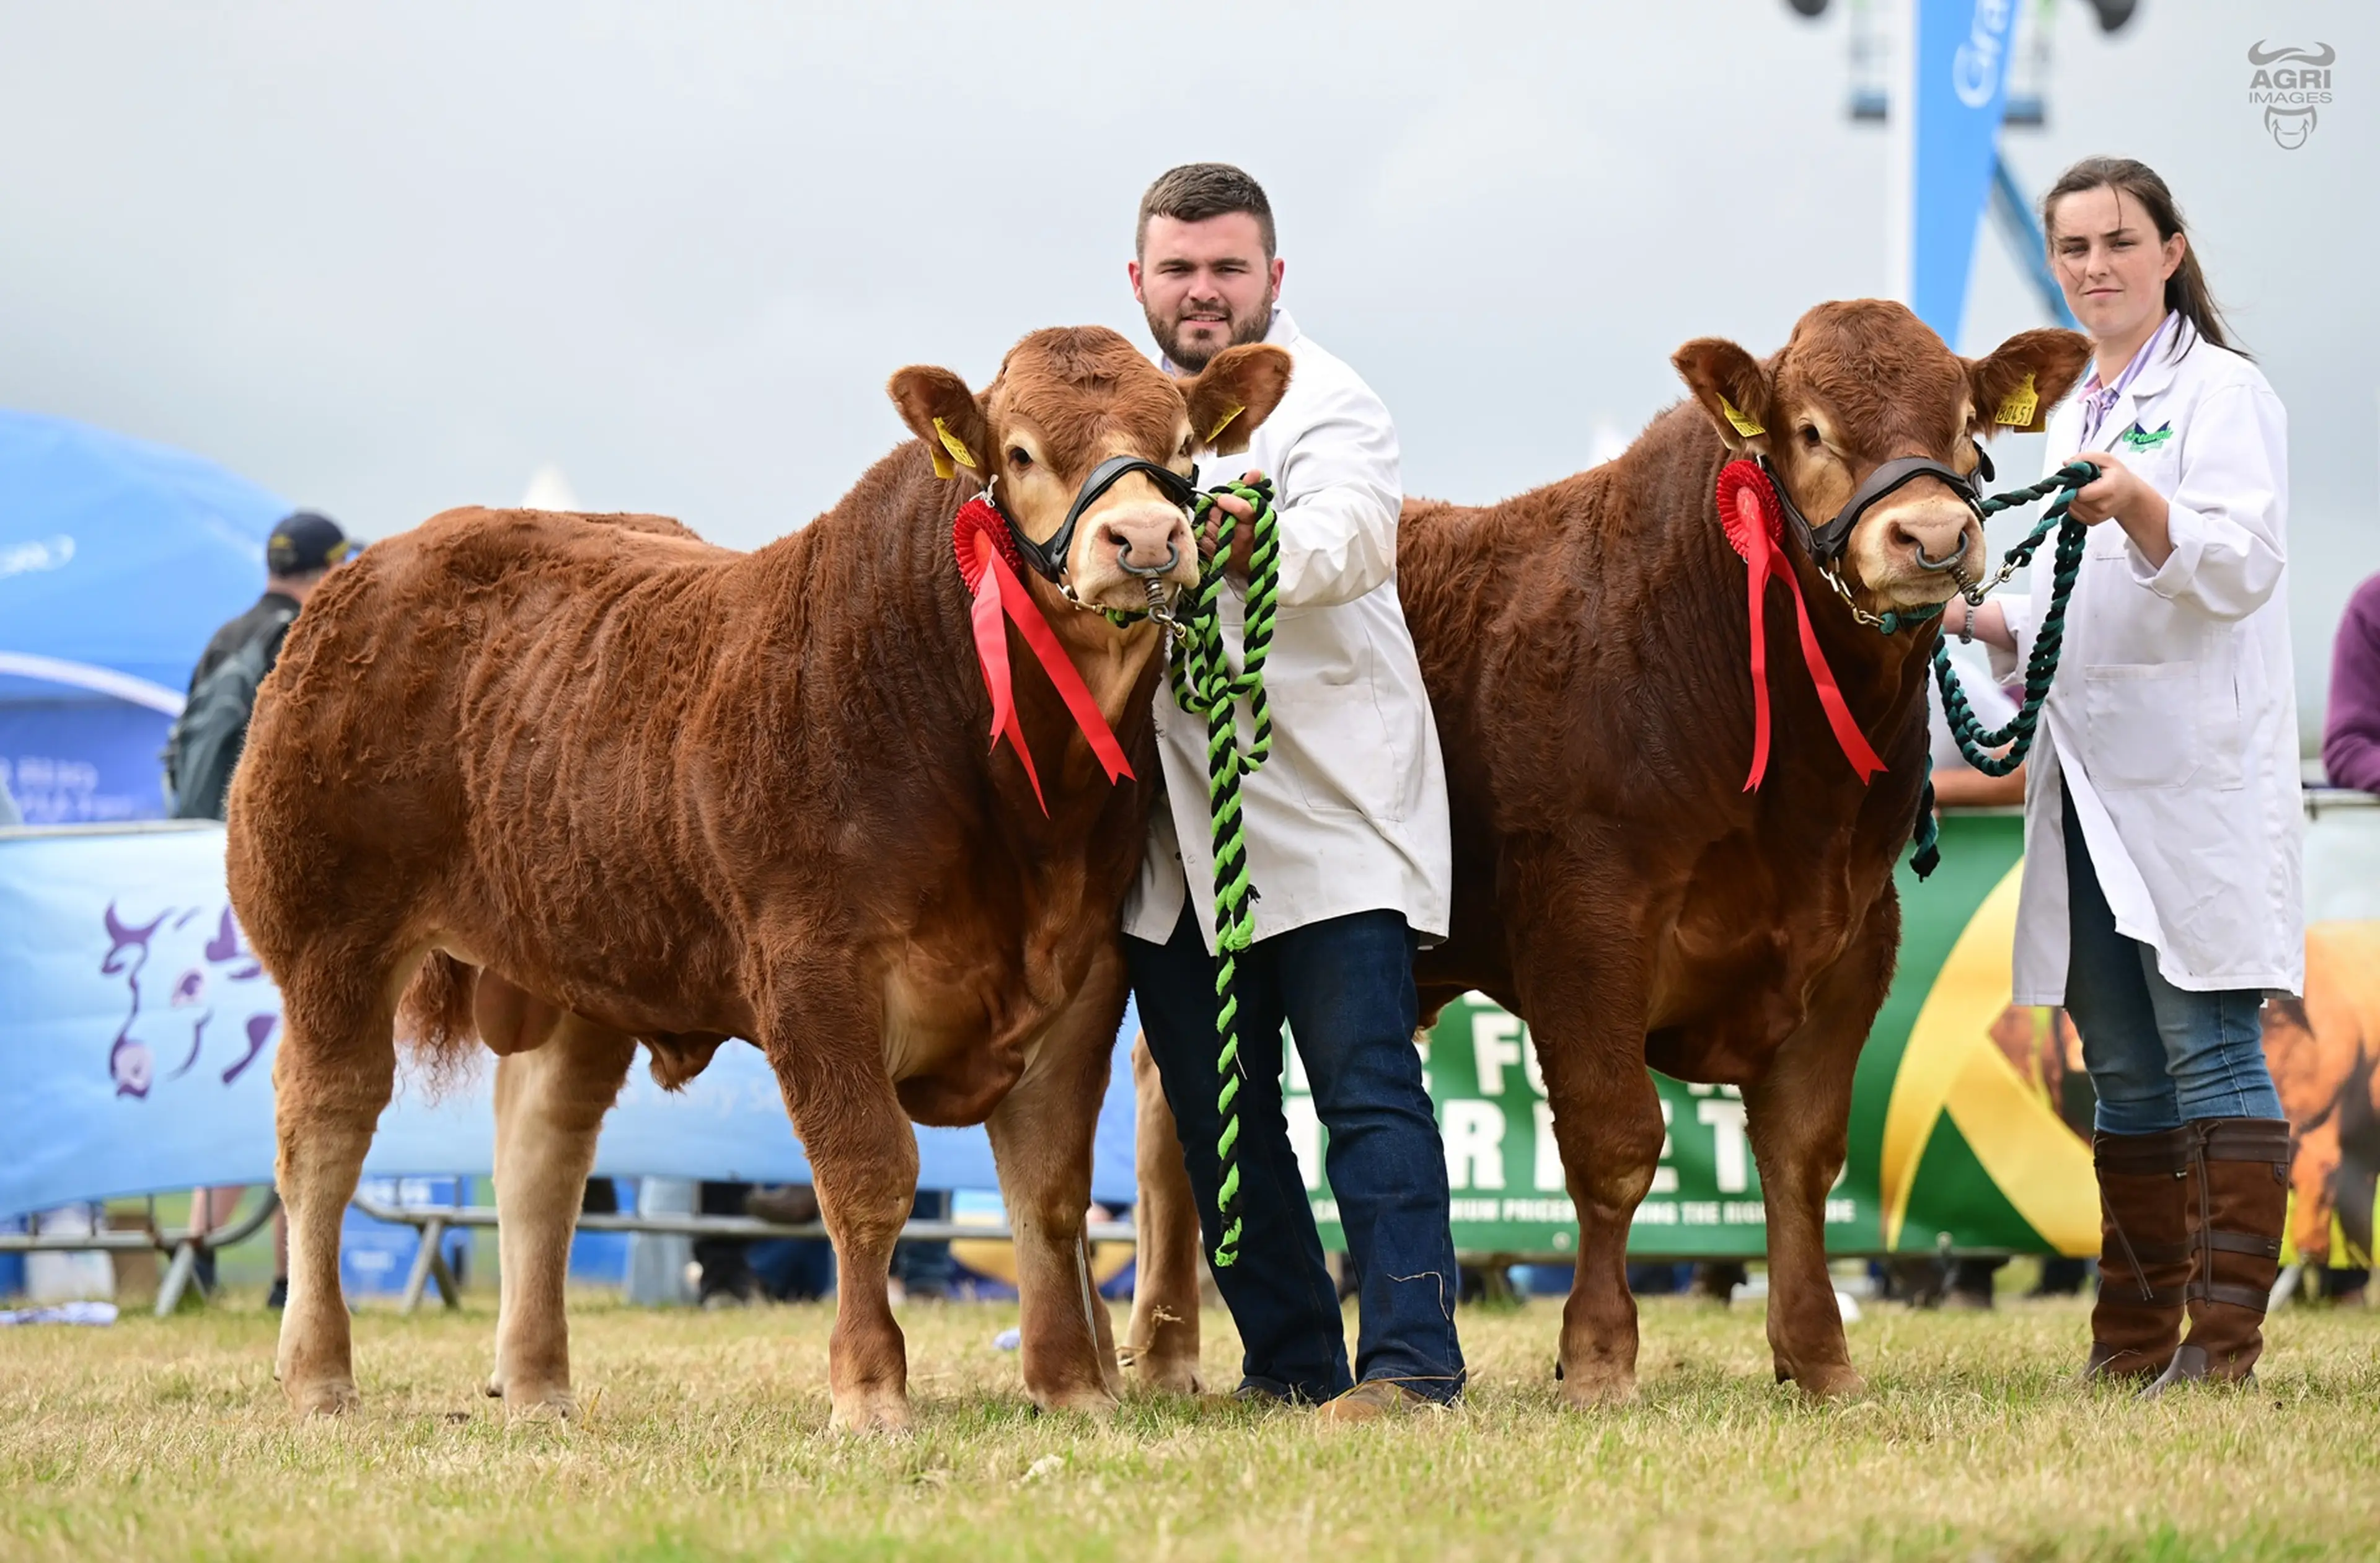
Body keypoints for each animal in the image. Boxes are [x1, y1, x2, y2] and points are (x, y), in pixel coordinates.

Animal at [226, 325, 1291, 1431]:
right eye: (1024, 451)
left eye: (1183, 446)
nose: (1144, 537)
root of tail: (373, 569)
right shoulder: (813, 970)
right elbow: (869, 1174)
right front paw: (870, 1388)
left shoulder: (1081, 976)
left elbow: (1048, 1191)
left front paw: (1073, 1385)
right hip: (330, 935)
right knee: (324, 1130)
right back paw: (318, 1372)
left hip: (572, 966)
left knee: (540, 1156)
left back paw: (537, 1384)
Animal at [1125, 300, 2089, 1404]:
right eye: (1809, 429)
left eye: (1968, 423)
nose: (1931, 535)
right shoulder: (1585, 923)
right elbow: (1615, 1140)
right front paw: (1595, 1354)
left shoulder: (1853, 939)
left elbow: (1802, 1153)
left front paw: (1818, 1355)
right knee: (1172, 1117)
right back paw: (1163, 1347)